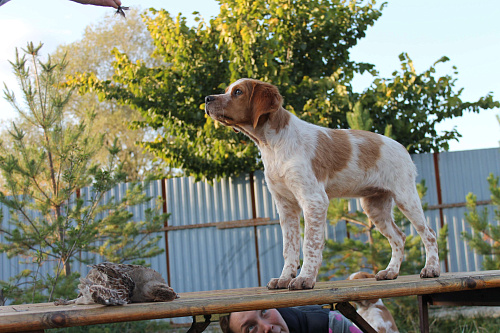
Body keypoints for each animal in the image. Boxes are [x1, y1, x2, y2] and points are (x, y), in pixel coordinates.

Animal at [205, 79, 440, 290]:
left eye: (238, 92)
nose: (207, 99)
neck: (273, 145)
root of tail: (402, 147)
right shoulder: (285, 205)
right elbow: (290, 246)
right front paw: (285, 278)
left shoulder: (314, 200)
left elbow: (310, 243)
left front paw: (304, 279)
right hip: (375, 206)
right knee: (399, 237)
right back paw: (391, 272)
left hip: (406, 197)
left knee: (428, 233)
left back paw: (431, 269)